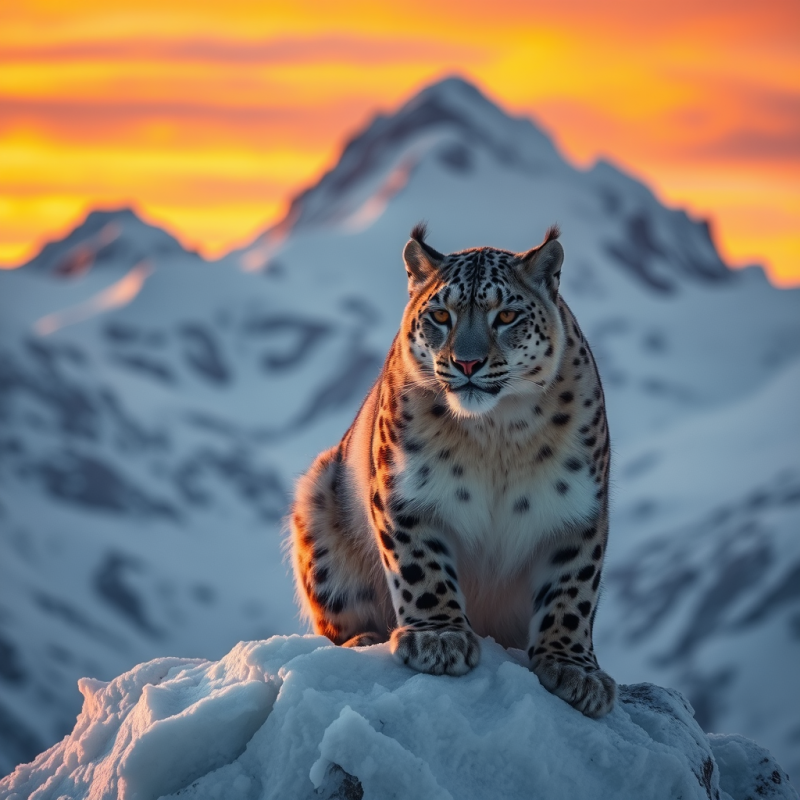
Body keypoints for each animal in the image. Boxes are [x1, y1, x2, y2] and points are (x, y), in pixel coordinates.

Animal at [290, 223, 616, 718]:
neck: (497, 434)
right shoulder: (406, 492)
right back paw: (363, 638)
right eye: (441, 315)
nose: (467, 362)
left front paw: (575, 669)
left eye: (506, 316)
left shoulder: (578, 509)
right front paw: (439, 639)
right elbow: (421, 566)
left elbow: (572, 589)